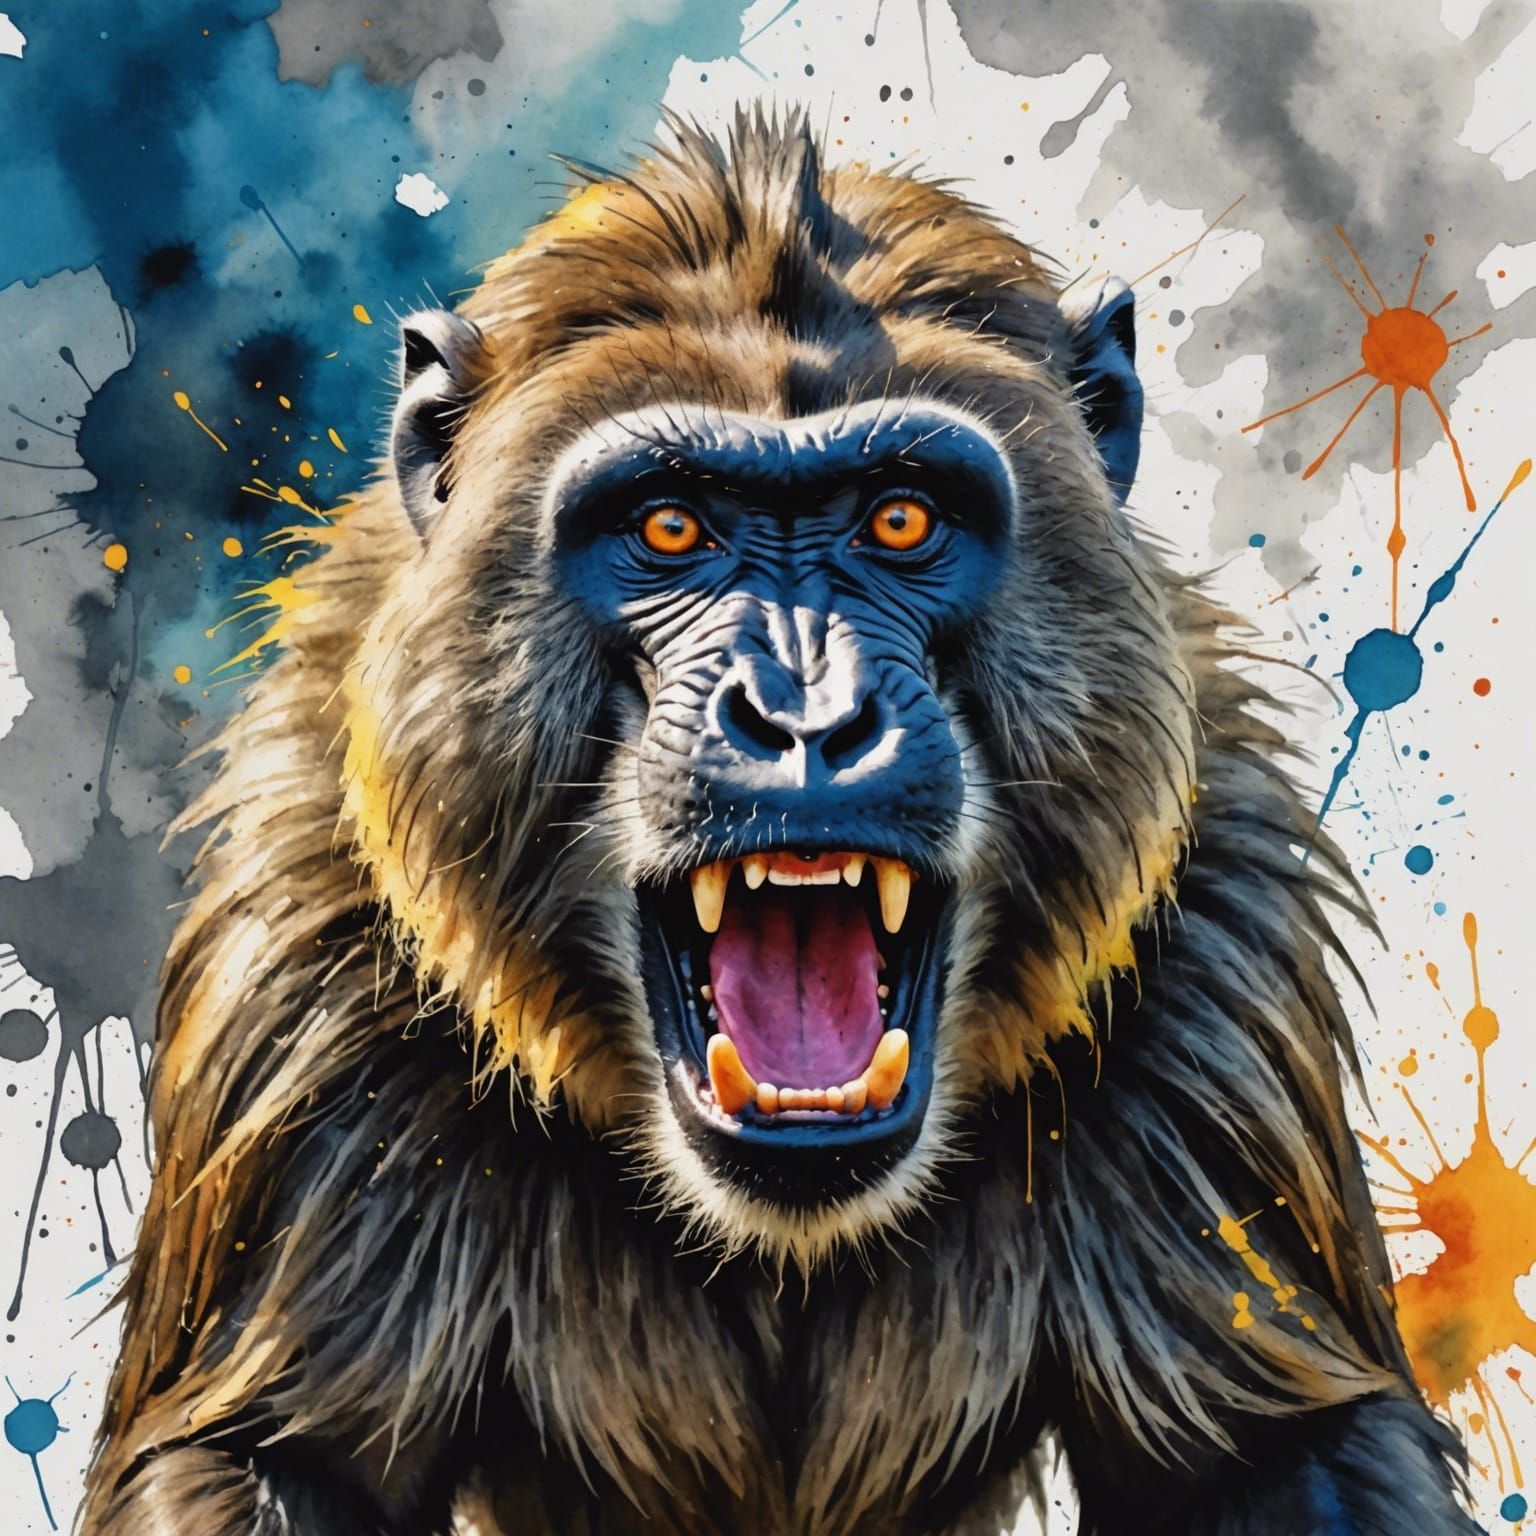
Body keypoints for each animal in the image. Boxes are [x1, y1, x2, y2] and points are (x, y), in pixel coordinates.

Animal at [80, 111, 1476, 1535]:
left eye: (902, 519)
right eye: (670, 526)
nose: (807, 710)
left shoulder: (1222, 963)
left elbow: (1283, 1452)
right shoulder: (301, 981)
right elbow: (266, 1458)